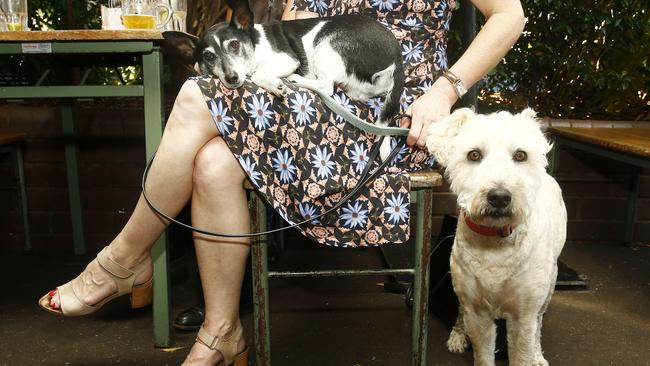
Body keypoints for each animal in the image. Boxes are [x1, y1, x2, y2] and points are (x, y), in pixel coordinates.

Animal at [165, 0, 402, 159]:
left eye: (234, 44)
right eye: (208, 57)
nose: (231, 78)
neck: (255, 44)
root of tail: (397, 60)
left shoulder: (287, 59)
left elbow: (258, 74)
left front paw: (273, 84)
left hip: (326, 44)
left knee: (326, 87)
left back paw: (295, 79)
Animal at [422, 108, 564, 366]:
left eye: (520, 155)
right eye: (474, 155)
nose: (499, 197)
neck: (495, 241)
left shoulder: (523, 317)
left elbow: (523, 352)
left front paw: (532, 355)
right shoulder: (477, 314)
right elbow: (482, 354)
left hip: (548, 288)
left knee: (539, 323)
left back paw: (538, 355)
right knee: (461, 311)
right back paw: (458, 335)